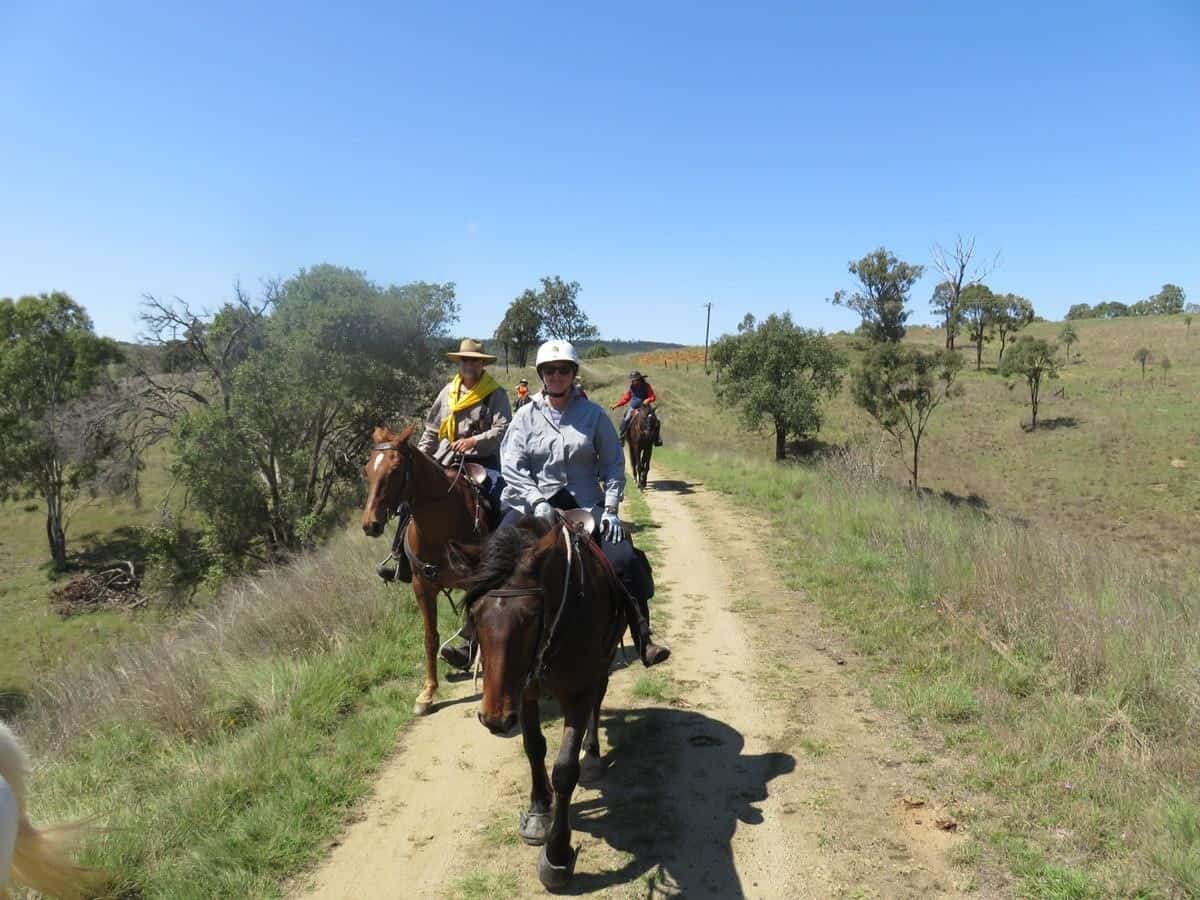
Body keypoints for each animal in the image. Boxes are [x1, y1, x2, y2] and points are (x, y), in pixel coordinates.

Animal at [357, 427, 489, 715]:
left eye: (396, 469)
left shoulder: (475, 580)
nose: (370, 524)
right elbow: (430, 638)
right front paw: (427, 693)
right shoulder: (422, 587)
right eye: (367, 470)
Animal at [460, 513, 624, 897]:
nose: (494, 719)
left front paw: (557, 854)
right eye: (474, 613)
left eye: (532, 615)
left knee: (598, 702)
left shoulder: (578, 693)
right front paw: (537, 811)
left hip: (602, 666)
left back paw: (593, 754)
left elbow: (564, 770)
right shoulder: (525, 691)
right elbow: (534, 747)